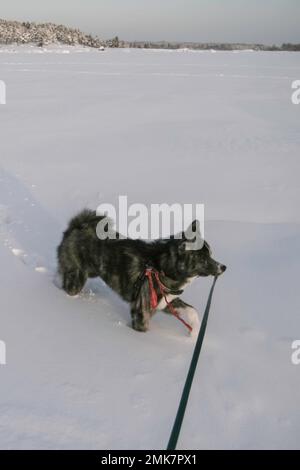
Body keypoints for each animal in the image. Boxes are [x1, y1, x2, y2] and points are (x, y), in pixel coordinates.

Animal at [56, 209, 226, 334]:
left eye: (211, 254)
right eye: (203, 258)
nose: (223, 267)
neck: (162, 267)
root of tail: (78, 225)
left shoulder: (165, 302)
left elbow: (192, 310)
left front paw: (194, 333)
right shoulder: (141, 310)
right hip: (76, 276)